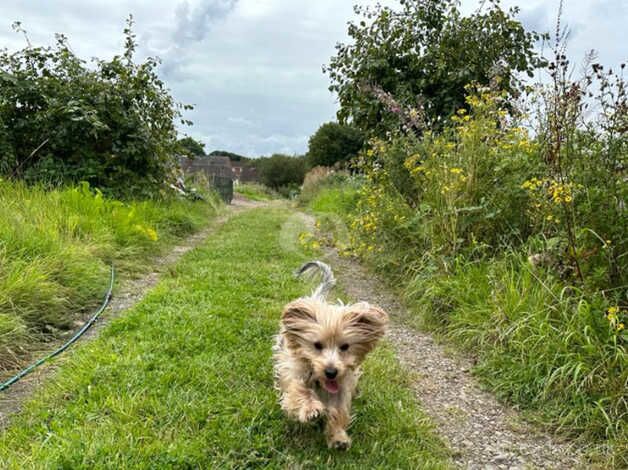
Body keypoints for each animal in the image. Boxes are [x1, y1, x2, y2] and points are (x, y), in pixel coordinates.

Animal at [274, 260, 388, 448]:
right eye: (317, 345)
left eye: (345, 346)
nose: (331, 372)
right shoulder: (293, 373)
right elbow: (298, 391)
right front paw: (311, 408)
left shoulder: (342, 385)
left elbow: (339, 410)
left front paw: (338, 436)